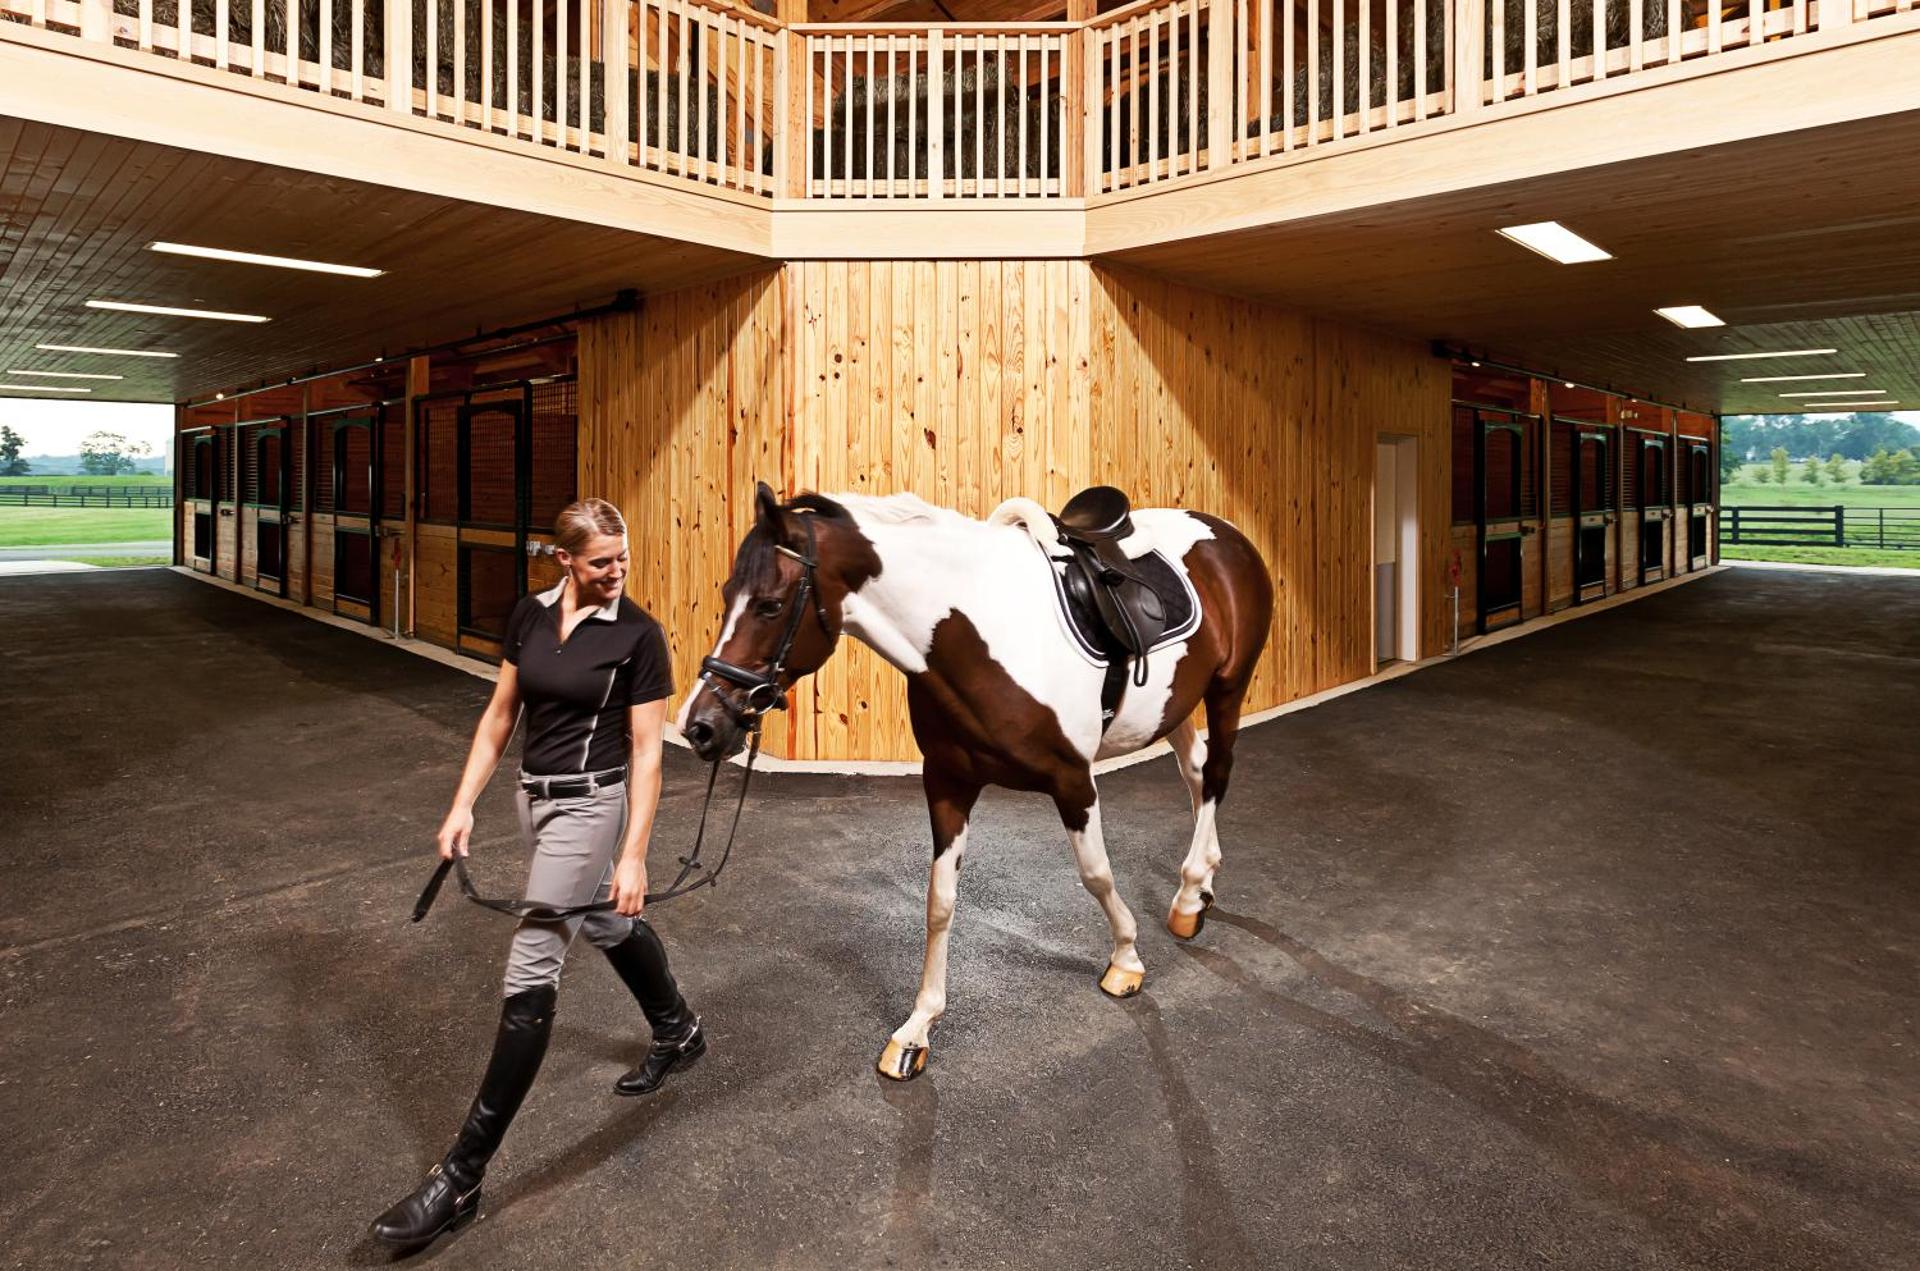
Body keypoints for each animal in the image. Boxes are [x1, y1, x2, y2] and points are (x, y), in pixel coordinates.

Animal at [678, 482, 1274, 1080]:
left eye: (770, 604)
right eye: (727, 592)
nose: (700, 725)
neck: (977, 635)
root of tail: (1226, 532)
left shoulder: (1073, 781)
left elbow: (1096, 875)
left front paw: (1126, 958)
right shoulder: (947, 782)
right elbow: (939, 902)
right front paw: (917, 1031)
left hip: (1228, 687)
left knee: (1216, 774)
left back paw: (1189, 900)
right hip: (1173, 707)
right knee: (1195, 771)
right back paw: (1199, 886)